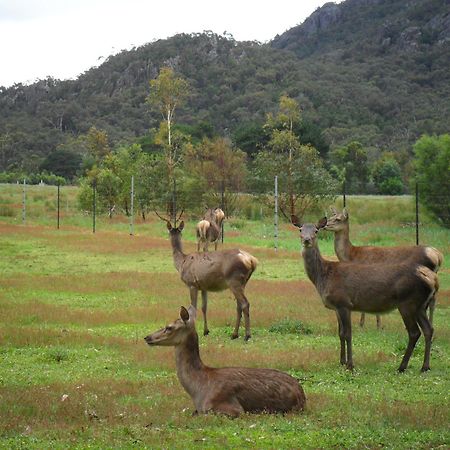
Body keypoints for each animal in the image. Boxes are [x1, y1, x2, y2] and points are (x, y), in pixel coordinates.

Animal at [156, 212, 258, 342]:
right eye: (171, 232)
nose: (172, 233)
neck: (181, 262)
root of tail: (252, 261)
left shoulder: (192, 284)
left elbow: (193, 308)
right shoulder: (203, 286)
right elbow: (204, 307)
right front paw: (206, 331)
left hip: (234, 280)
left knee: (245, 303)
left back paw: (247, 335)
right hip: (242, 282)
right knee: (239, 305)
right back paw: (234, 334)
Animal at [290, 214, 438, 372]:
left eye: (316, 231)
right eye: (300, 229)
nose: (307, 240)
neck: (323, 276)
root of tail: (432, 278)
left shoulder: (344, 302)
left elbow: (348, 334)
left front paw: (350, 365)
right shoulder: (336, 307)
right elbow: (340, 333)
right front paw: (341, 361)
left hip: (407, 302)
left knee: (414, 332)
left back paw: (402, 367)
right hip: (420, 305)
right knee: (428, 329)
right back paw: (425, 366)